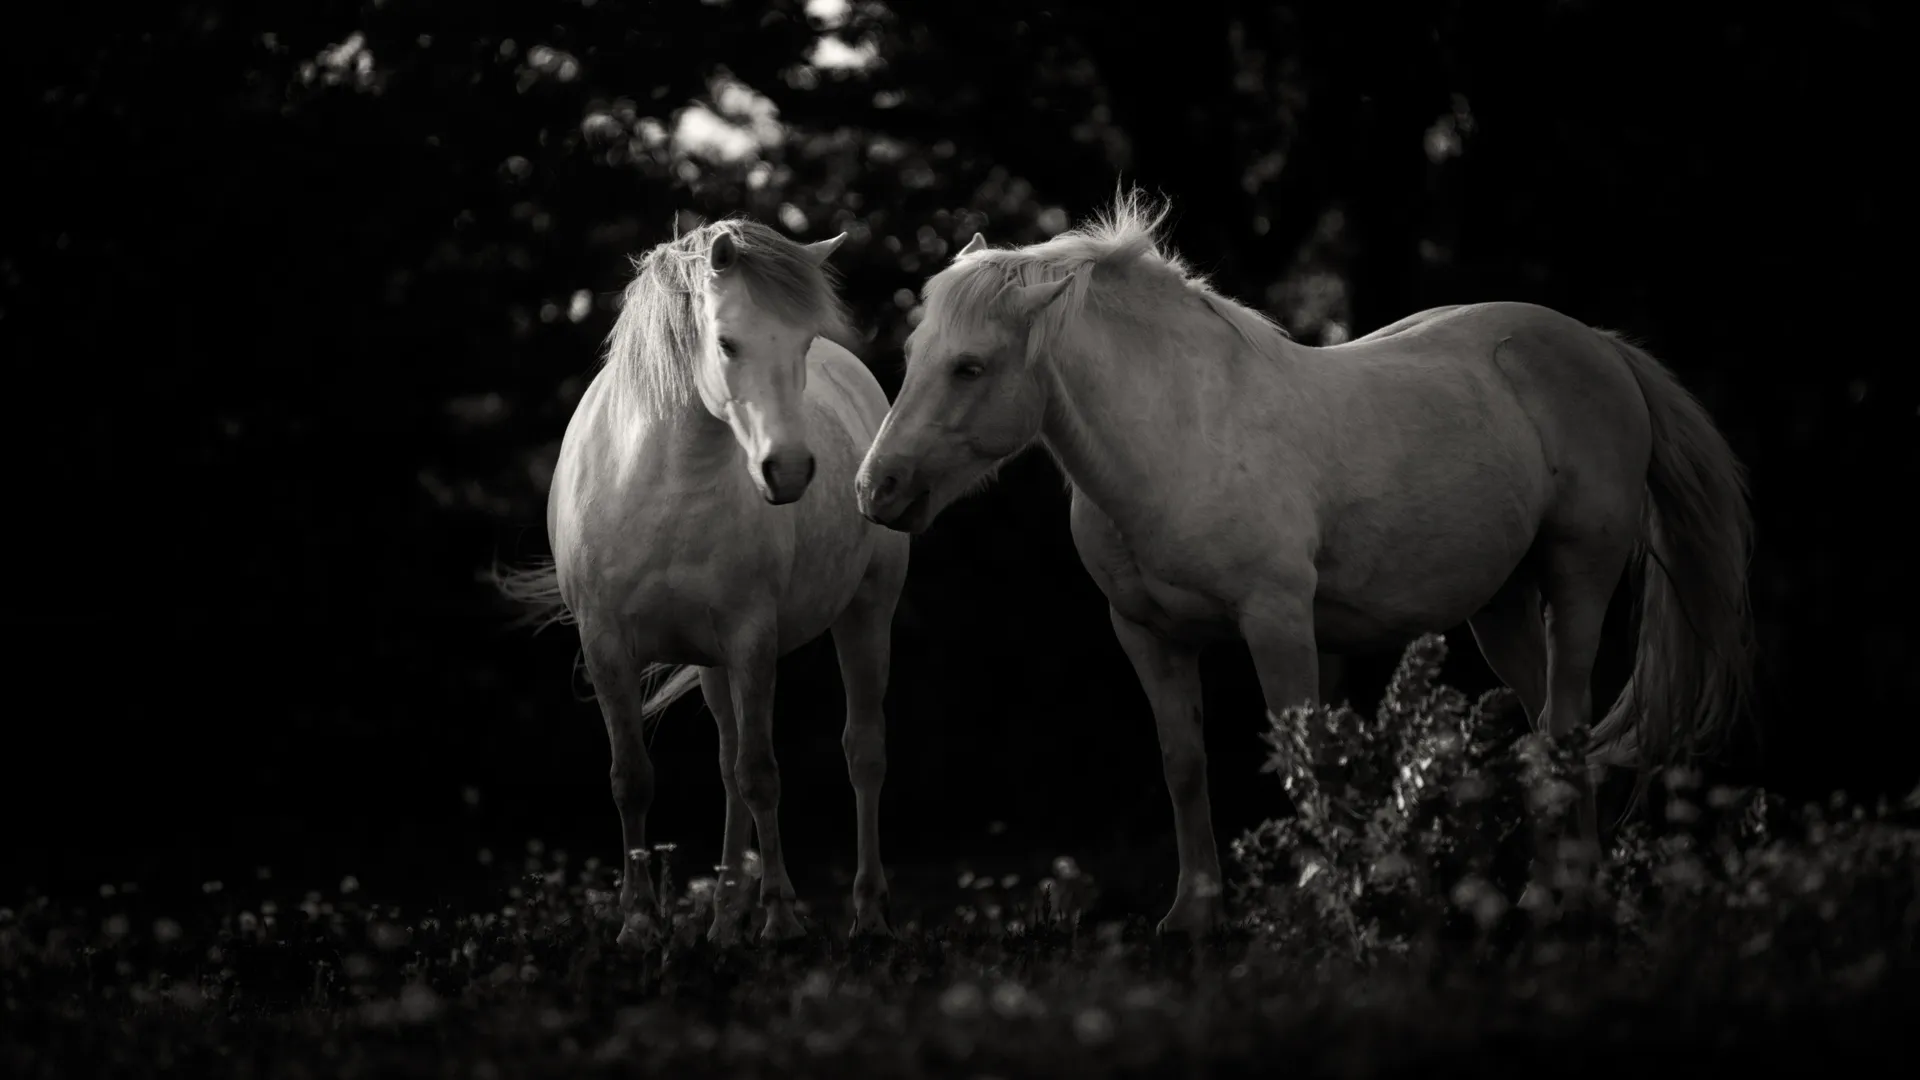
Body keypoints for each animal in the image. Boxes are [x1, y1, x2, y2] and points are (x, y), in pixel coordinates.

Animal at [497, 218, 910, 947]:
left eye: (802, 343)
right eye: (726, 343)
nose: (789, 470)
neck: (665, 481)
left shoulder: (752, 641)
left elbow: (762, 774)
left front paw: (780, 918)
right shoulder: (608, 647)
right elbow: (633, 779)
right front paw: (638, 924)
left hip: (866, 615)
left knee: (862, 754)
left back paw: (867, 916)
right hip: (715, 665)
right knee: (726, 764)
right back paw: (721, 922)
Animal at [854, 190, 1754, 937]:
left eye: (970, 366)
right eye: (915, 352)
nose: (876, 488)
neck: (1180, 431)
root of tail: (1599, 347)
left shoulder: (1278, 622)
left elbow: (1302, 761)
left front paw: (1323, 900)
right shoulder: (1147, 635)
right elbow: (1183, 766)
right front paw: (1195, 914)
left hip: (1578, 580)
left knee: (1566, 728)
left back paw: (1569, 898)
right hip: (1500, 608)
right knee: (1548, 732)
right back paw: (1561, 891)